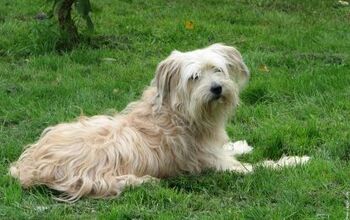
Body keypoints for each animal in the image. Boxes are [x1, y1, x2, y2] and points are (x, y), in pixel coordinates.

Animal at [8, 43, 308, 202]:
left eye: (217, 70)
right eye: (194, 77)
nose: (217, 88)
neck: (179, 113)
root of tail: (27, 166)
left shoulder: (214, 150)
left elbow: (231, 147)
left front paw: (242, 144)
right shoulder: (219, 167)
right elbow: (264, 166)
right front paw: (296, 160)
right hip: (93, 173)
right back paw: (143, 182)